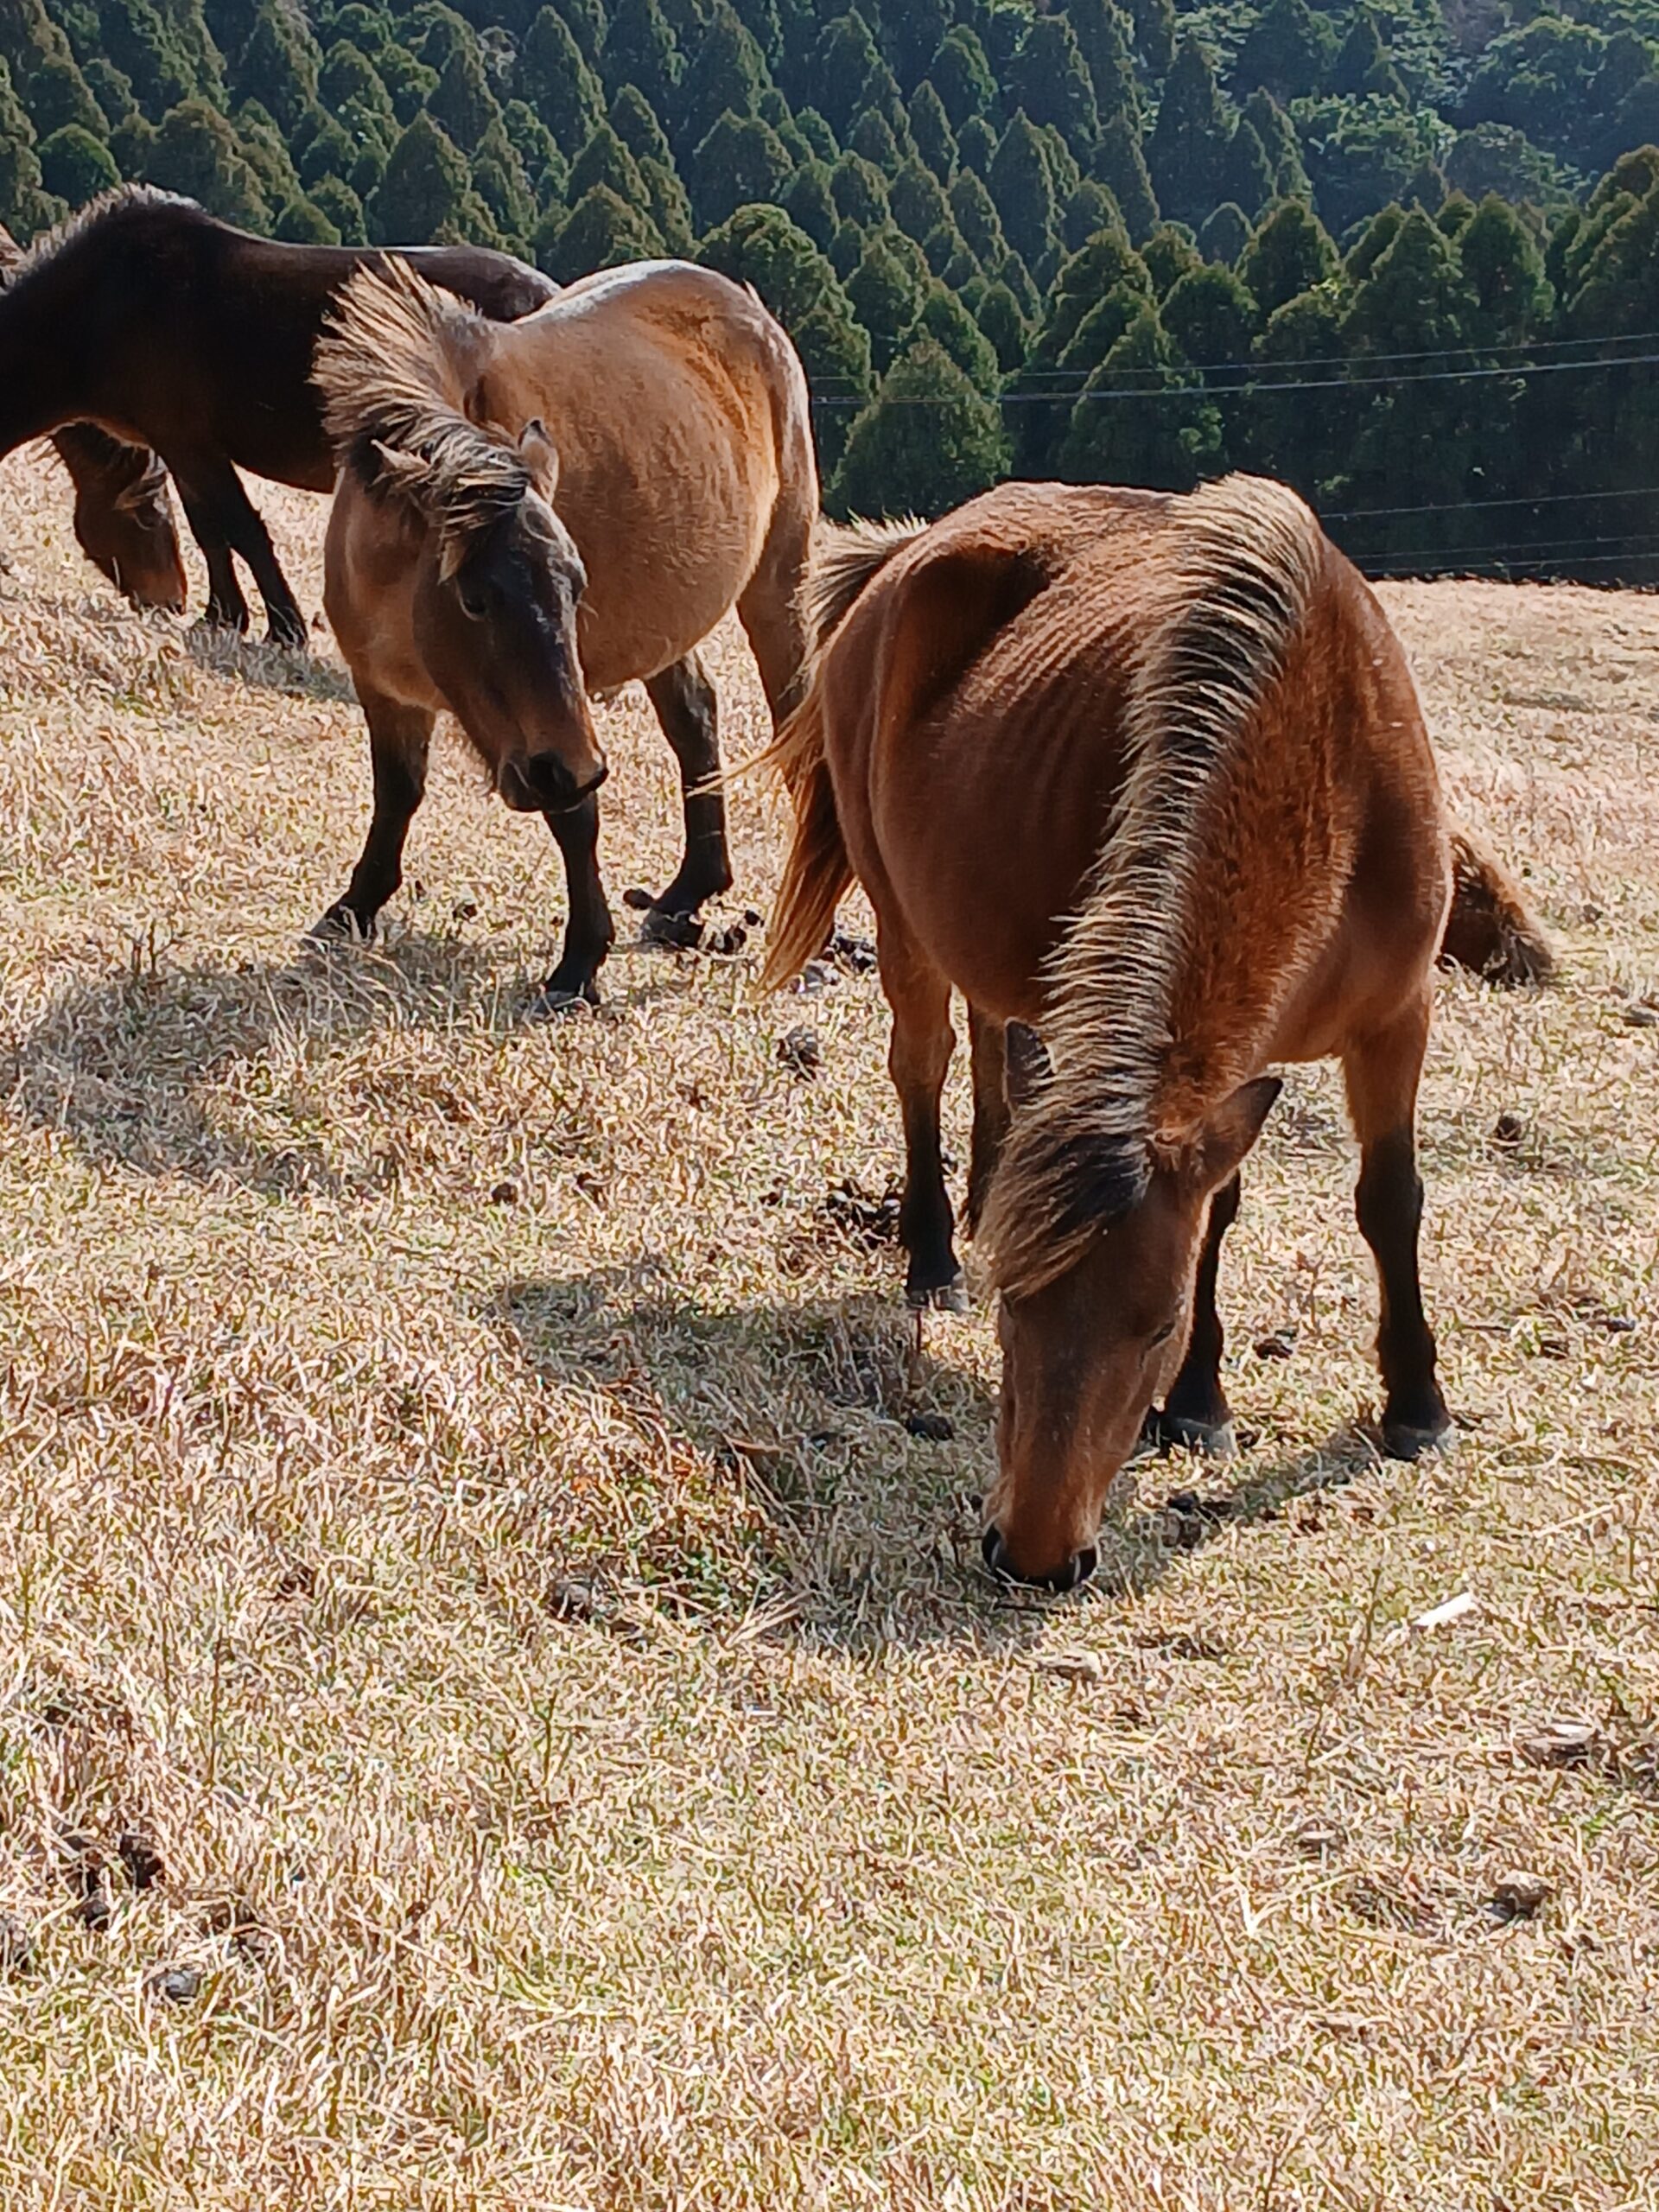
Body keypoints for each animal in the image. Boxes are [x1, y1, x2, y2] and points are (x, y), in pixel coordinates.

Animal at [312, 257, 817, 1009]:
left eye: (576, 590)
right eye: (474, 599)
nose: (562, 767)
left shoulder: (561, 726)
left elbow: (575, 814)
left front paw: (580, 959)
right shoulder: (383, 690)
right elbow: (397, 792)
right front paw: (354, 907)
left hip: (779, 583)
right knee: (695, 716)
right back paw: (687, 895)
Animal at [763, 476, 1475, 1591]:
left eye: (1158, 1323)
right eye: (1014, 1308)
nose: (1035, 1554)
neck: (1321, 746)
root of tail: (901, 558)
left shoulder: (1394, 1021)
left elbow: (1385, 1201)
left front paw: (1414, 1405)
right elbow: (1229, 1212)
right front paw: (1203, 1401)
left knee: (995, 1051)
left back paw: (986, 1191)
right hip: (901, 918)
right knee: (922, 1065)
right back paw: (933, 1250)